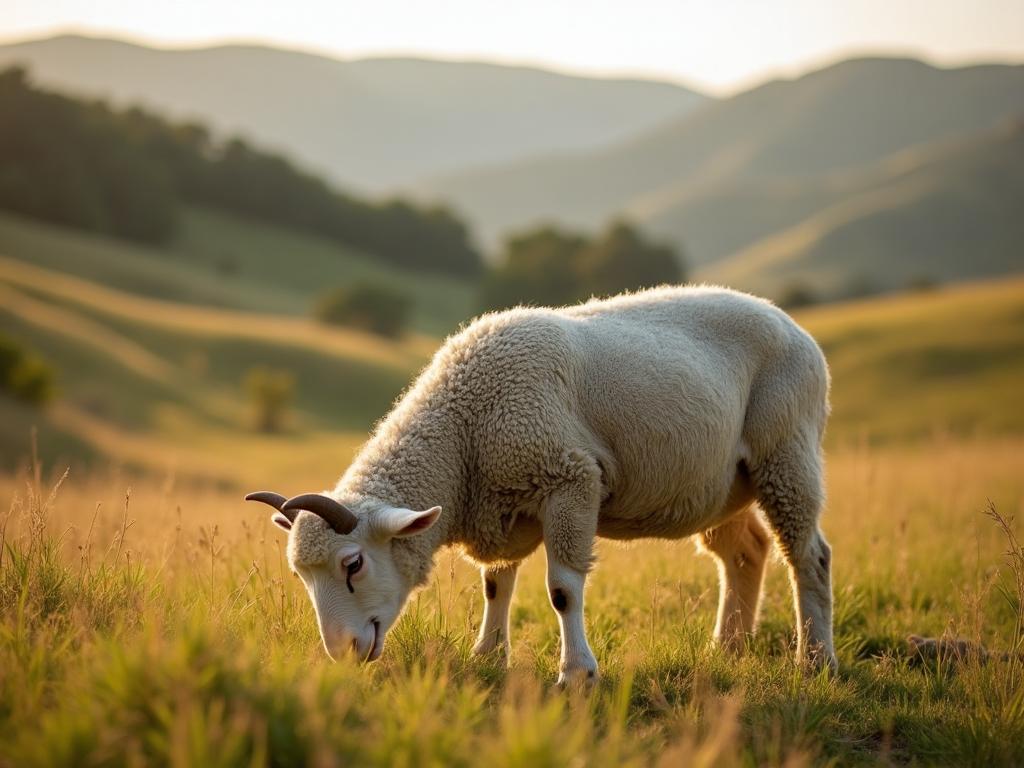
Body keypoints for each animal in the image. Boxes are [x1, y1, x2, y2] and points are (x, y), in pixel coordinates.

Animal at [246, 285, 835, 683]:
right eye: (300, 576)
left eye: (353, 564)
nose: (342, 651)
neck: (464, 431)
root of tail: (791, 324)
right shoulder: (502, 504)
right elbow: (496, 584)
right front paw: (488, 654)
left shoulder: (569, 477)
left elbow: (562, 590)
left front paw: (576, 674)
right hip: (720, 486)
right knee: (746, 552)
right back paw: (727, 649)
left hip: (787, 448)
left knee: (809, 555)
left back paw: (814, 660)